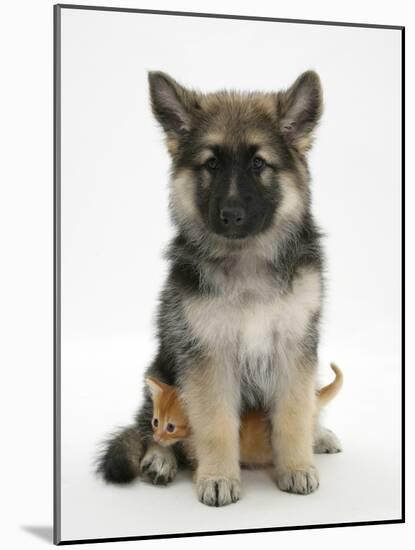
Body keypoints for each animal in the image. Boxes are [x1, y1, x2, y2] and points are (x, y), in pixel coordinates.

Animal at [97, 70, 342, 508]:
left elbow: (295, 415)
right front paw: (217, 477)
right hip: (161, 368)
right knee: (149, 425)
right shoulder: (208, 355)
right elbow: (214, 423)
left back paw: (320, 436)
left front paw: (296, 466)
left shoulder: (295, 349)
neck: (247, 260)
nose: (231, 215)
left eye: (259, 163)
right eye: (211, 164)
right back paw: (159, 458)